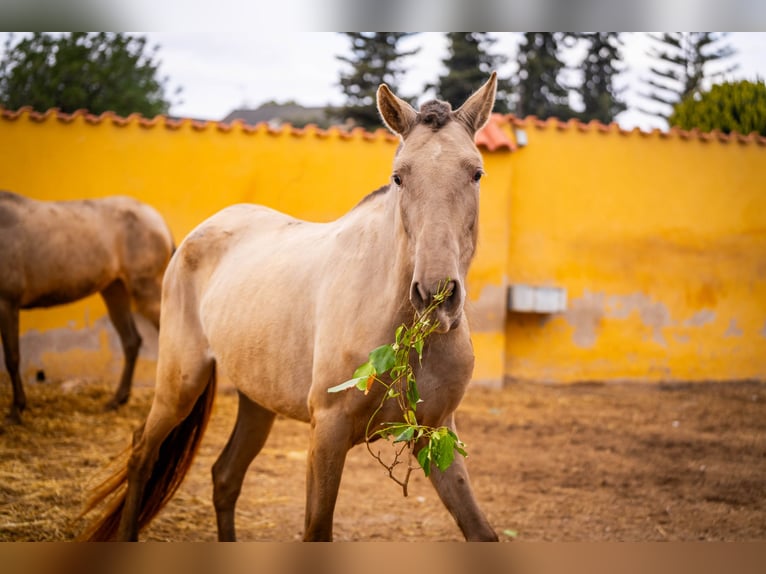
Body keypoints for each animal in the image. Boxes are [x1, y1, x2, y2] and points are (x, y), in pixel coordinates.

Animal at [0, 194, 176, 424]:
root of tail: (159, 221)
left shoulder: (7, 302)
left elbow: (12, 357)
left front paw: (16, 410)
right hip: (114, 289)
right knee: (131, 341)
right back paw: (117, 400)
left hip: (147, 290)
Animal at [81, 73, 500, 544]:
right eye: (399, 177)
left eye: (476, 173)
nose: (435, 295)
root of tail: (197, 234)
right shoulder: (328, 433)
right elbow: (316, 529)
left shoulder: (435, 431)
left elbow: (481, 532)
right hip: (180, 383)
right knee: (142, 453)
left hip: (256, 400)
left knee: (225, 476)